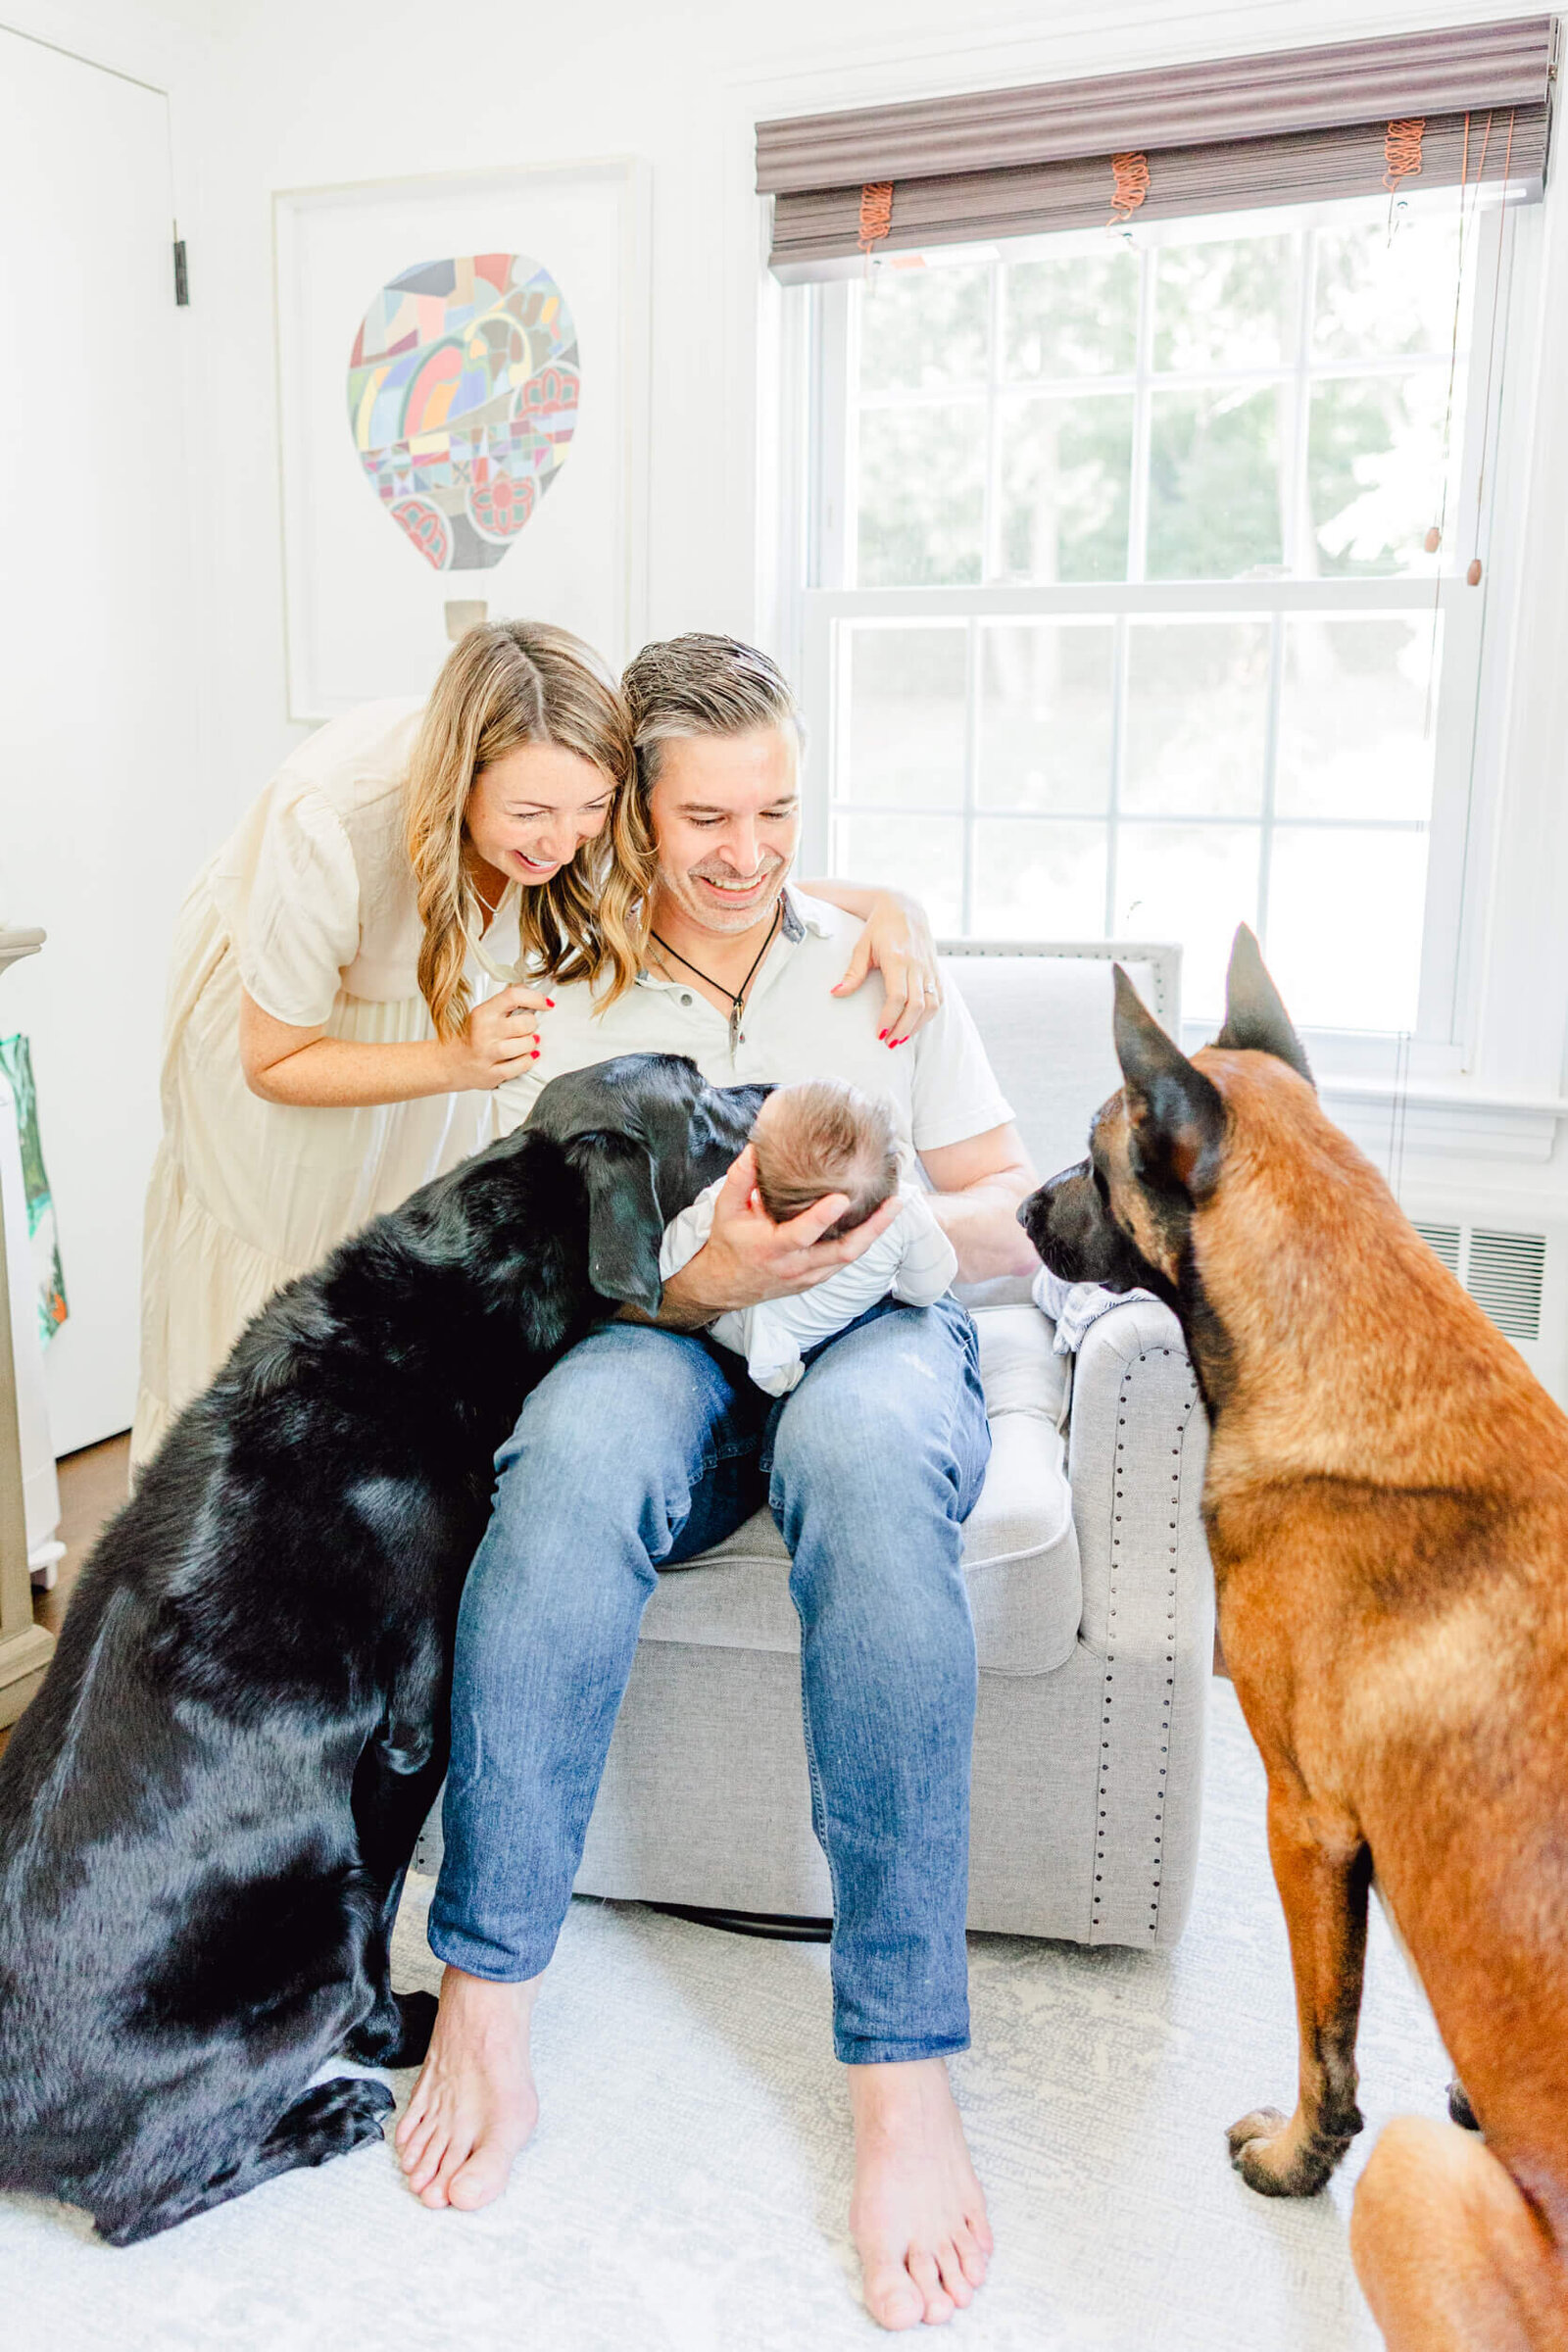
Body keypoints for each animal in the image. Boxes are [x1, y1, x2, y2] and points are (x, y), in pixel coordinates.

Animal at [0, 1054, 766, 2238]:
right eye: (696, 1093)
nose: (771, 1091)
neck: (460, 1302)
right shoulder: (415, 1733)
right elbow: (394, 1901)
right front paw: (397, 2036)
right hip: (313, 1942)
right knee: (140, 2199)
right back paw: (332, 2113)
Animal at [1024, 926, 1568, 2342]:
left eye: (1093, 1159)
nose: (1021, 1211)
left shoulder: (1307, 1822)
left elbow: (1329, 2039)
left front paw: (1289, 2163)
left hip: (1413, 2182)